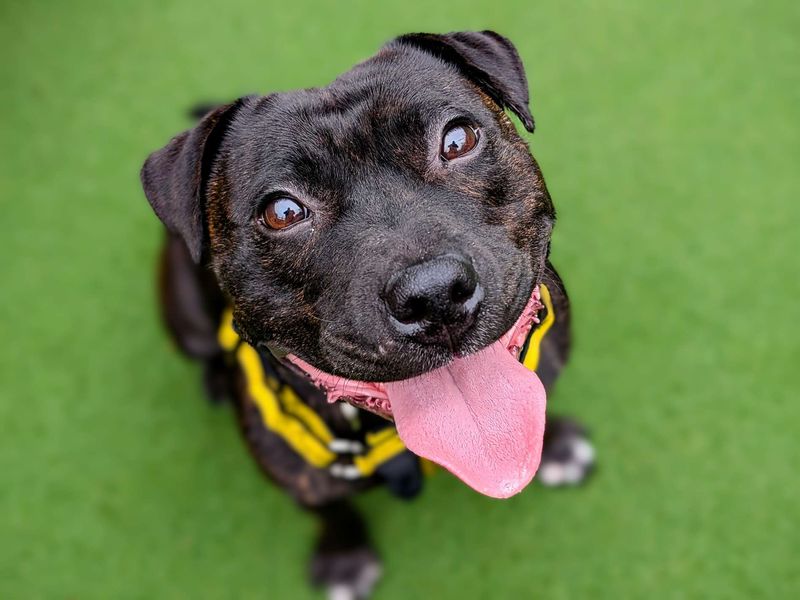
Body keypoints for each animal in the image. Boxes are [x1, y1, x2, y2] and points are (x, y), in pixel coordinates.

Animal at [142, 31, 592, 600]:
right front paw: (344, 557)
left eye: (457, 140)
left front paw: (555, 446)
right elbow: (330, 509)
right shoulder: (298, 476)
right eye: (283, 212)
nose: (434, 294)